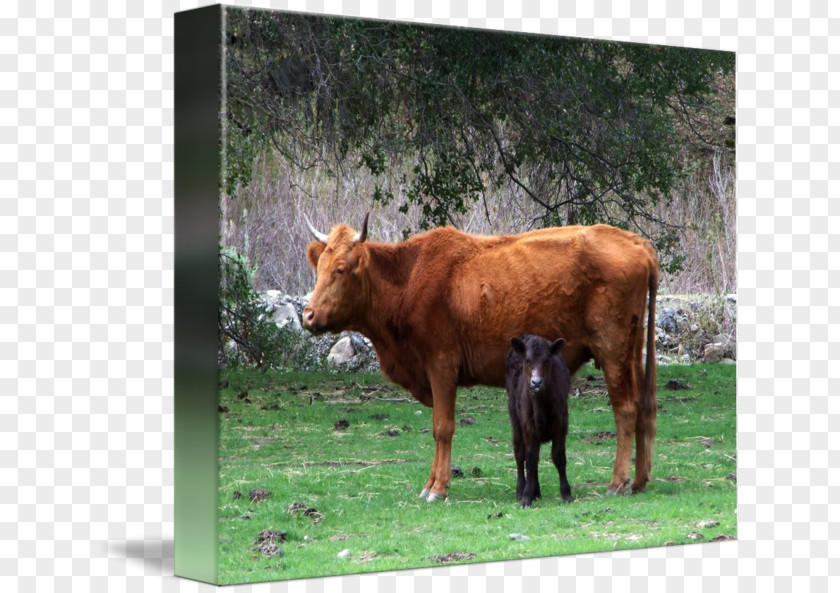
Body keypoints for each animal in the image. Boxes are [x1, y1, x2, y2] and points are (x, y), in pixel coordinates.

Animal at [306, 213, 660, 500]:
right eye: (318, 269)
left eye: (340, 270)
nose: (308, 315)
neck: (410, 278)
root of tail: (637, 243)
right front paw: (431, 483)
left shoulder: (441, 365)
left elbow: (442, 427)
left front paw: (438, 487)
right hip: (632, 352)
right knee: (643, 407)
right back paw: (639, 480)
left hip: (613, 351)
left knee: (626, 409)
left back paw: (617, 482)